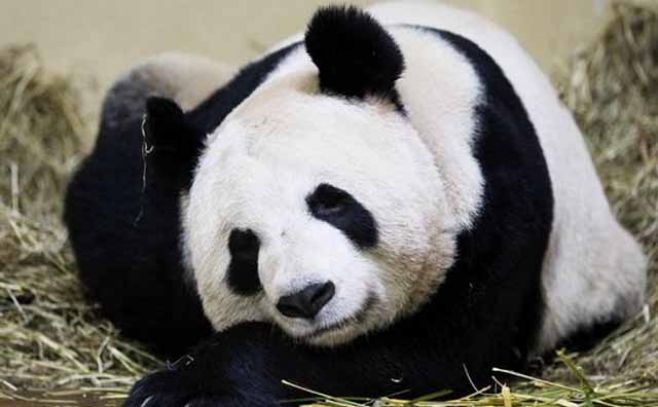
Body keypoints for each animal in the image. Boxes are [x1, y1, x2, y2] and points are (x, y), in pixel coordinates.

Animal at [64, 3, 646, 406]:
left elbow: (434, 356)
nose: (306, 297)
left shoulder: (495, 201)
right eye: (243, 248)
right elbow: (117, 225)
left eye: (332, 203)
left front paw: (184, 385)